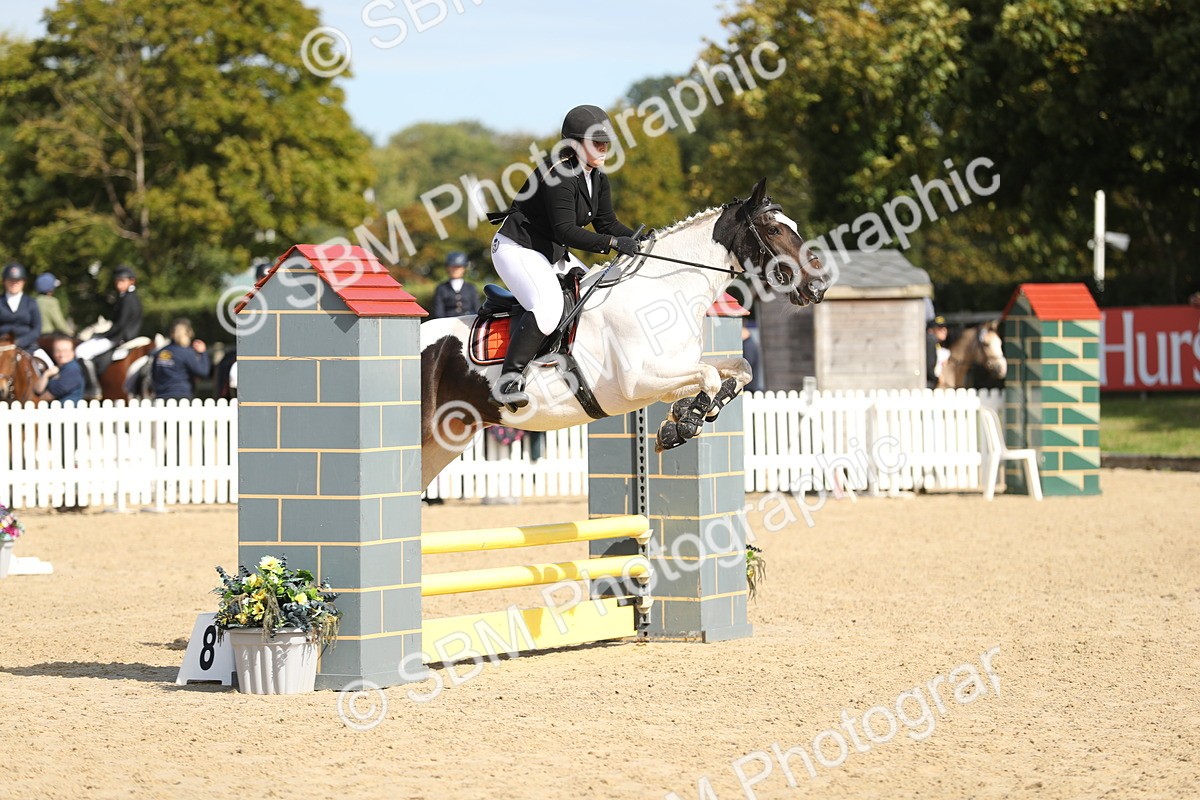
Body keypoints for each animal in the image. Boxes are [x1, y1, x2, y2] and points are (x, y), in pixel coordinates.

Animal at [419, 178, 829, 488]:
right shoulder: (639, 381)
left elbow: (737, 369)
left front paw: (684, 416)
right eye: (773, 229)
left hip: (445, 440)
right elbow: (710, 375)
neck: (664, 290)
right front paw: (684, 425)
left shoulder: (669, 375)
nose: (819, 286)